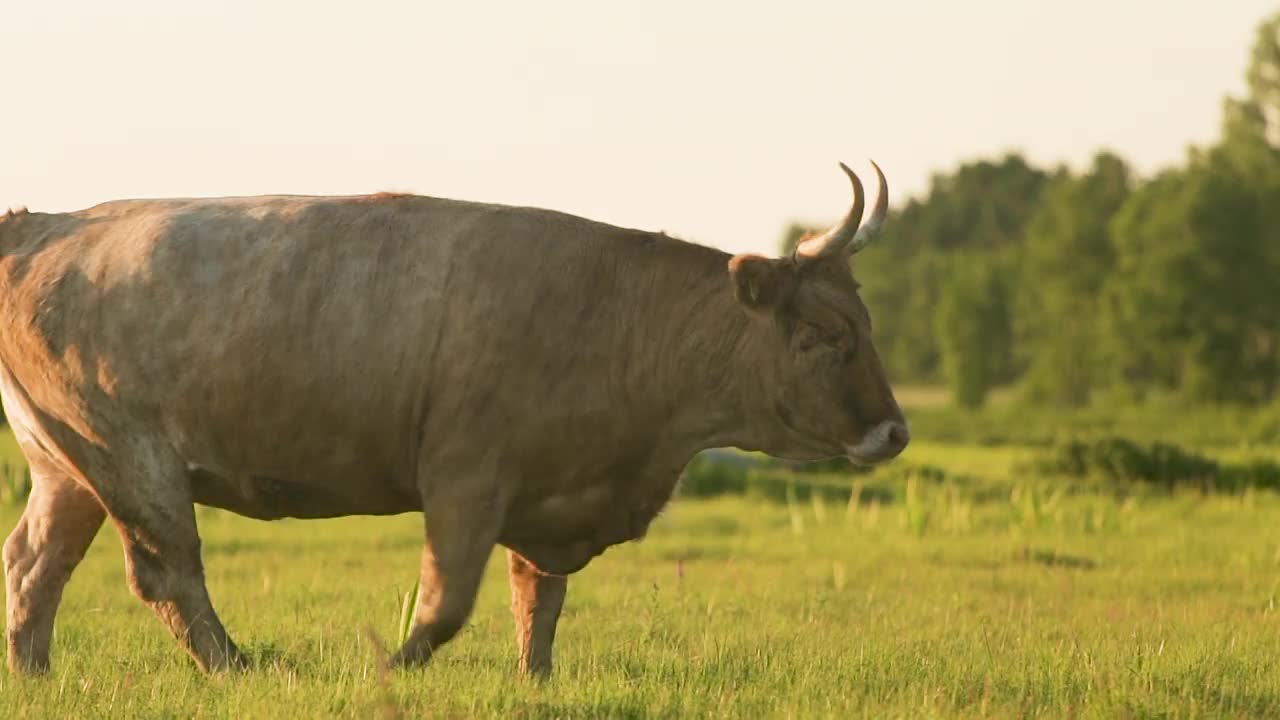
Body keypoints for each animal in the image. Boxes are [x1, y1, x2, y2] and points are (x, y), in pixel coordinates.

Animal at [0, 159, 911, 676]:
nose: (895, 431)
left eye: (866, 324)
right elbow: (446, 603)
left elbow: (538, 600)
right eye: (823, 334)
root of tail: (50, 223)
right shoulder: (467, 477)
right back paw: (239, 669)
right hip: (130, 455)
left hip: (65, 464)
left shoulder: (547, 491)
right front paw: (389, 671)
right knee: (165, 573)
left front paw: (535, 684)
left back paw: (37, 676)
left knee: (34, 567)